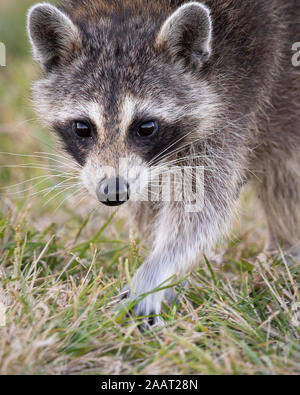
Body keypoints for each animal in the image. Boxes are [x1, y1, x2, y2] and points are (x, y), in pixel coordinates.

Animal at [27, 0, 300, 324]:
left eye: (146, 127)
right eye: (82, 128)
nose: (113, 192)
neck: (136, 9)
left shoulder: (238, 95)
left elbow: (203, 205)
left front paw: (157, 268)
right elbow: (149, 204)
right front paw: (169, 277)